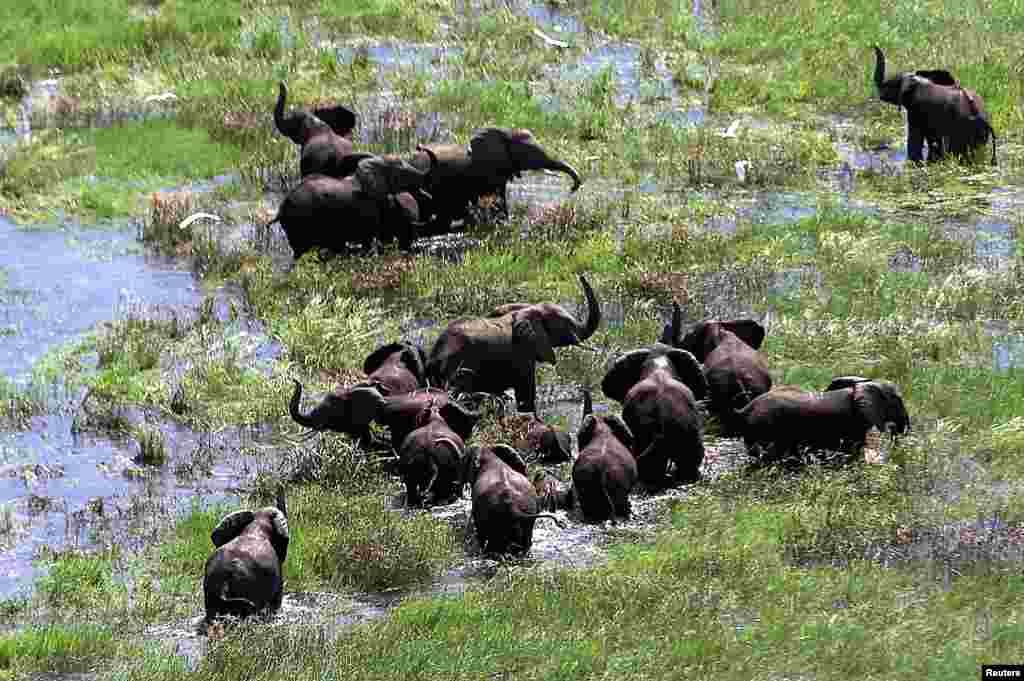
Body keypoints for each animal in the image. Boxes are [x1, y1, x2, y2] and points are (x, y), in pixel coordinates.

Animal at [407, 127, 582, 235]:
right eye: (529, 154)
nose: (572, 188)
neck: (506, 133)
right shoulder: (491, 172)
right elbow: (498, 199)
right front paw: (503, 222)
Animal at [426, 274, 602, 413]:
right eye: (566, 324)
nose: (580, 275)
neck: (529, 309)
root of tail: (434, 356)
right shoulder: (522, 352)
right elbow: (526, 394)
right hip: (459, 370)